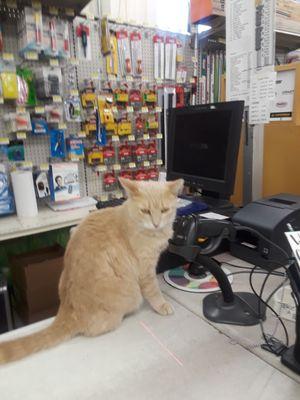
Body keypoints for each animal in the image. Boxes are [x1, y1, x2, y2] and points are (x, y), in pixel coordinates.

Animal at [0, 180, 183, 364]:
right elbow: (154, 291)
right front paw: (162, 305)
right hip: (129, 298)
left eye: (164, 210)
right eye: (145, 211)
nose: (156, 223)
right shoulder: (146, 269)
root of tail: (67, 309)